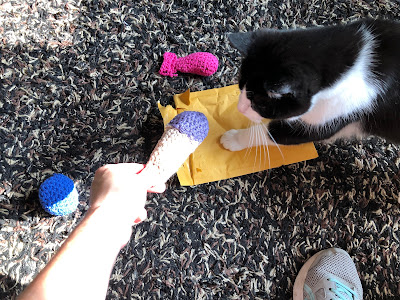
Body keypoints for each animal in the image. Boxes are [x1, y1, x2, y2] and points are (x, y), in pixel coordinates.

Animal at [220, 18, 400, 150]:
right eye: (240, 87)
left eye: (259, 104)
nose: (239, 108)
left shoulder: (339, 112)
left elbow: (277, 134)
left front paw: (233, 139)